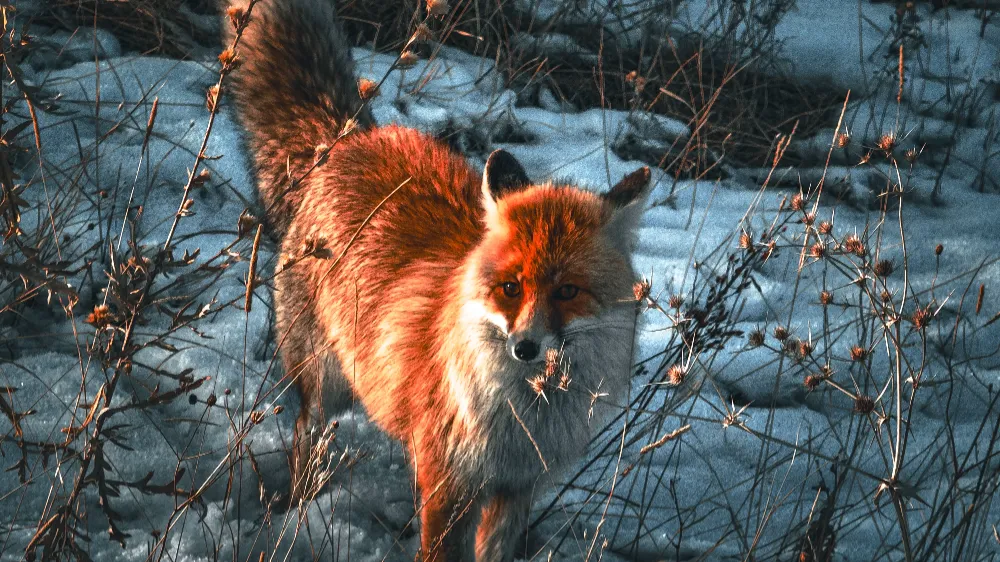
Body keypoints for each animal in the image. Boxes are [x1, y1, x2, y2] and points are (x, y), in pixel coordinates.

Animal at [226, 2, 648, 556]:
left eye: (567, 292)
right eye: (511, 287)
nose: (525, 348)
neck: (525, 419)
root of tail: (352, 139)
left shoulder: (517, 488)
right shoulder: (448, 483)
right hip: (324, 383)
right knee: (304, 437)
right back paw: (296, 512)